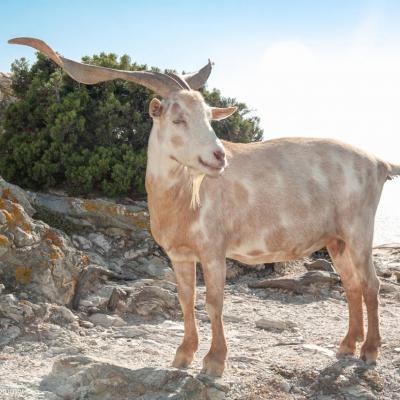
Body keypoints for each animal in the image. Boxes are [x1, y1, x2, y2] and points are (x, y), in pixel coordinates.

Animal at [10, 37, 400, 378]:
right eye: (178, 117)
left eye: (210, 117)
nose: (219, 156)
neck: (185, 198)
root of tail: (379, 163)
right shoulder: (180, 254)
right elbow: (186, 299)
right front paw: (182, 356)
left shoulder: (213, 249)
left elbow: (214, 301)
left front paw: (214, 362)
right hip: (336, 239)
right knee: (351, 284)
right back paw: (347, 346)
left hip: (359, 230)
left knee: (371, 283)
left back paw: (370, 351)